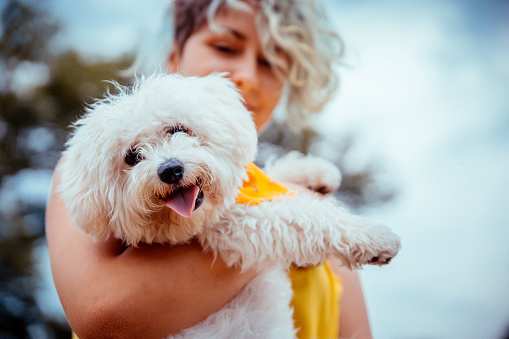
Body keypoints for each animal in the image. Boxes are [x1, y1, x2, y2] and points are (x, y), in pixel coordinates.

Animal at [59, 73, 398, 338]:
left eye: (178, 129)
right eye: (132, 156)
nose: (170, 170)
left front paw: (315, 172)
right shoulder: (235, 230)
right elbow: (299, 217)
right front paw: (372, 238)